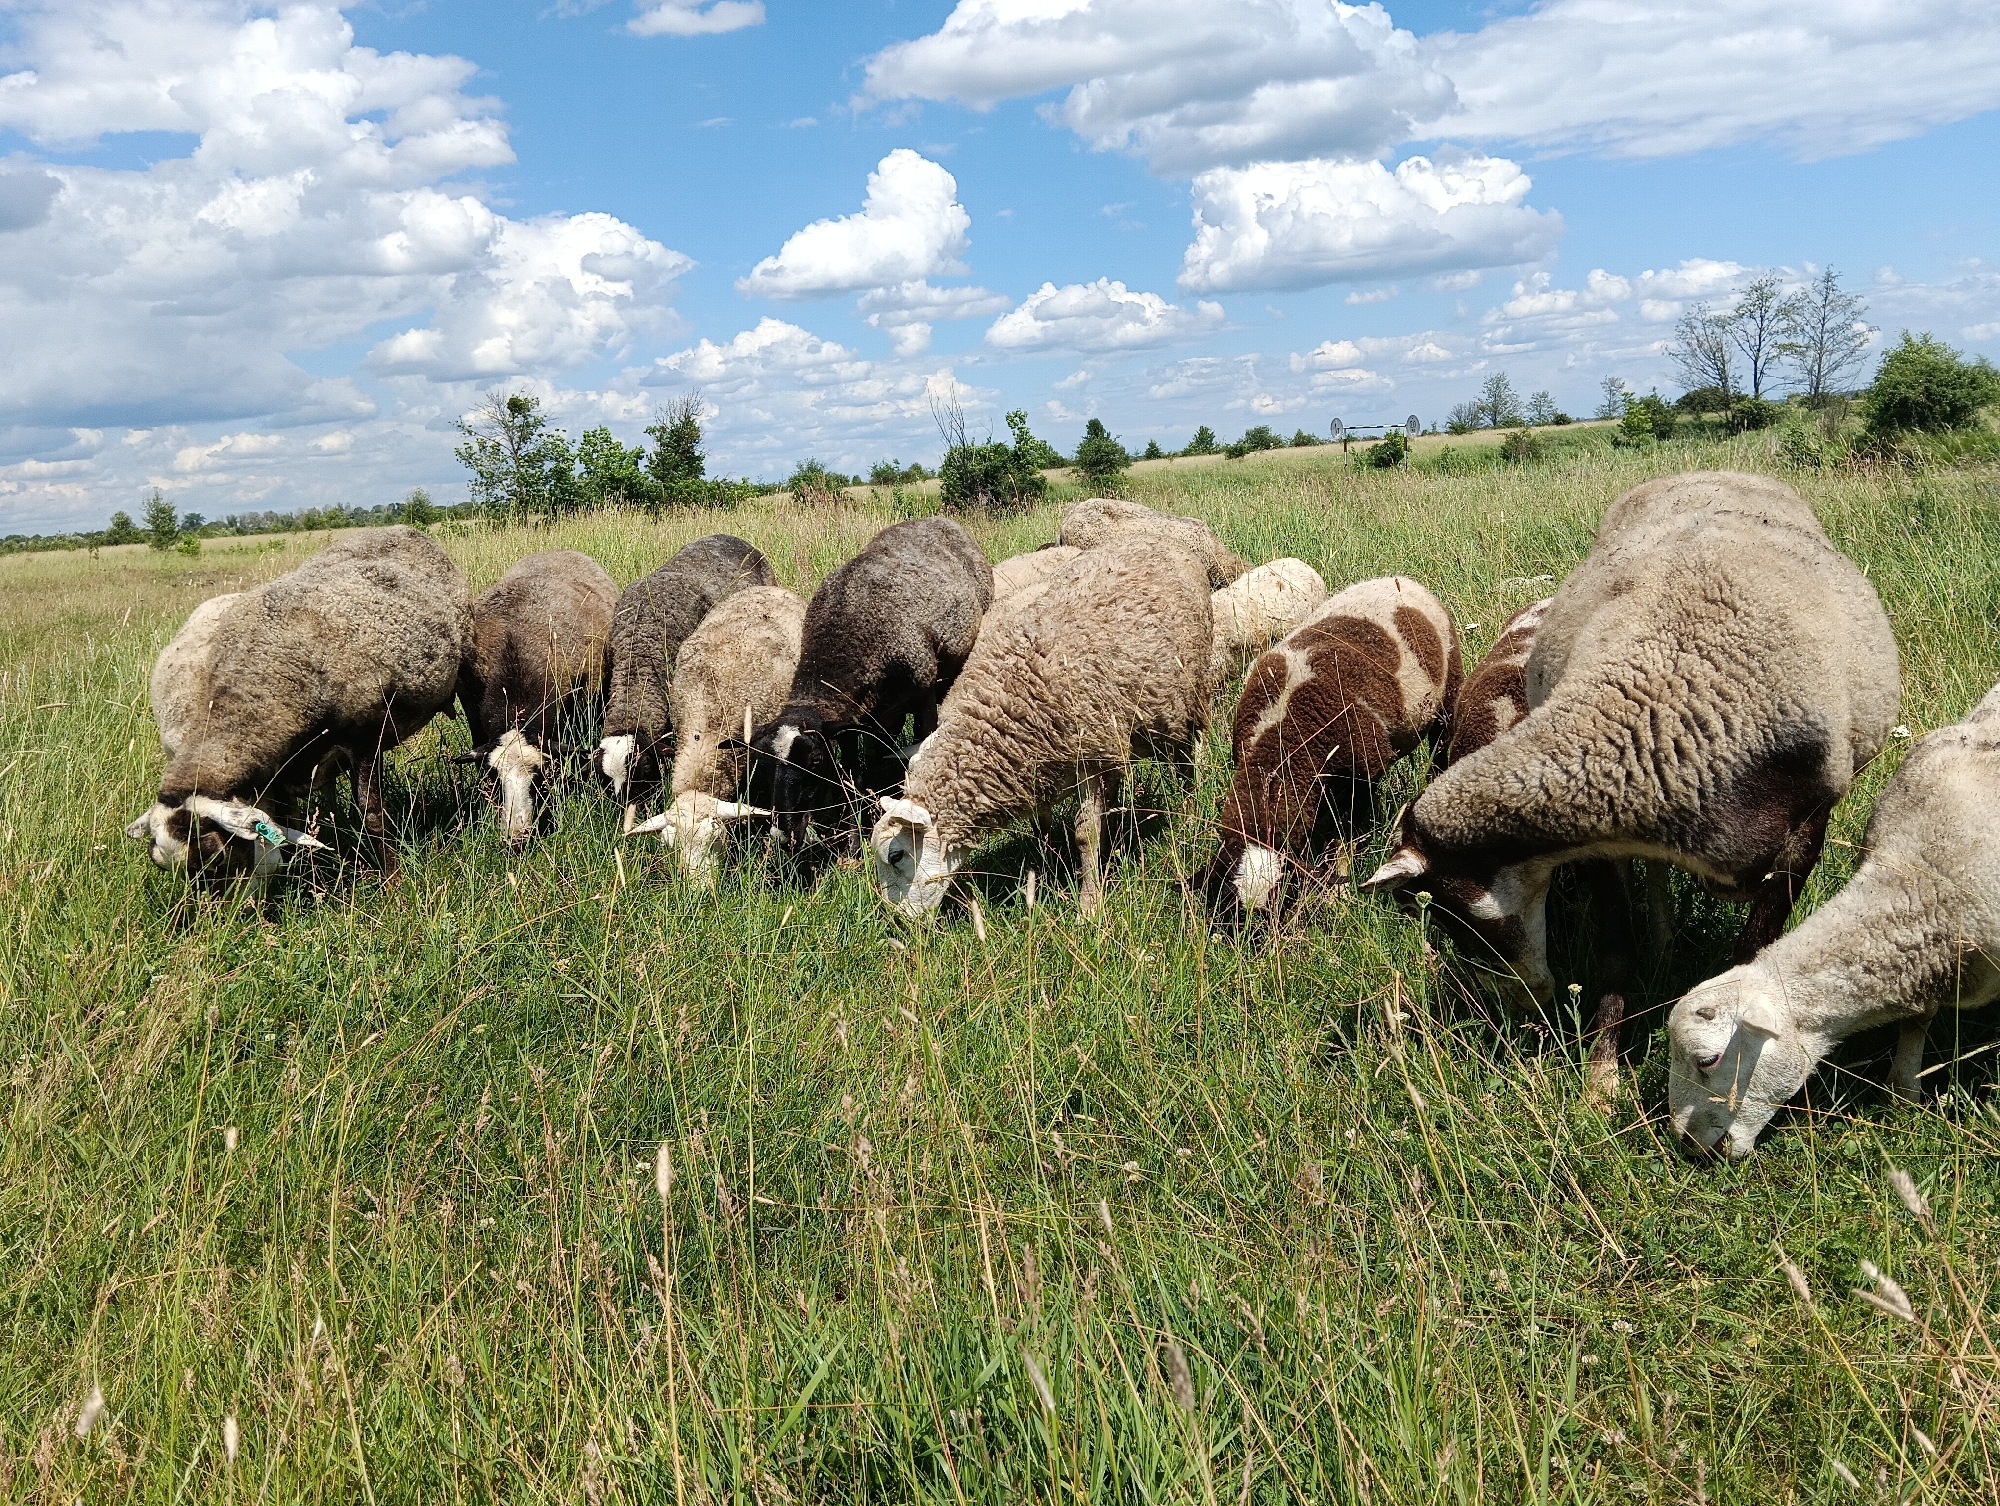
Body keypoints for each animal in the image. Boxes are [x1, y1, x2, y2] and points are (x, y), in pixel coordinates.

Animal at [125, 526, 468, 884]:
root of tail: (398, 528)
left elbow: (372, 814)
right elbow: (289, 820)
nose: (227, 906)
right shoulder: (279, 772)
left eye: (218, 858)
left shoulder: (365, 736)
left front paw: (392, 882)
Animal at [746, 517, 992, 850]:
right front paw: (852, 839)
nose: (783, 836)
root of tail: (937, 519)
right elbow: (852, 777)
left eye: (815, 760)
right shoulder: (847, 722)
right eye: (762, 766)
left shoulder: (924, 694)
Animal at [870, 531, 1213, 918]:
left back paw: (1191, 813)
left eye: (896, 855)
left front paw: (1089, 906)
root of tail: (1156, 539)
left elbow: (1085, 834)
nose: (899, 922)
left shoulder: (1091, 758)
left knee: (1190, 755)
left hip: (1191, 696)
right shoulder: (1040, 768)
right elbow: (1042, 823)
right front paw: (1045, 866)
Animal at [1211, 576, 1460, 917]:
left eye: (1281, 897)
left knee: (1439, 748)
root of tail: (1399, 579)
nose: (1260, 932)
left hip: (1447, 698)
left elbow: (1346, 834)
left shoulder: (1361, 775)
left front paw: (1339, 885)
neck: (1282, 739)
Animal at [1363, 471, 1901, 1012]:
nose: (1522, 1004)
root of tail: (1701, 472)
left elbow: (1751, 955)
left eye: (1454, 915)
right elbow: (1617, 952)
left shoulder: (1807, 829)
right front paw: (1605, 1036)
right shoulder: (1603, 843)